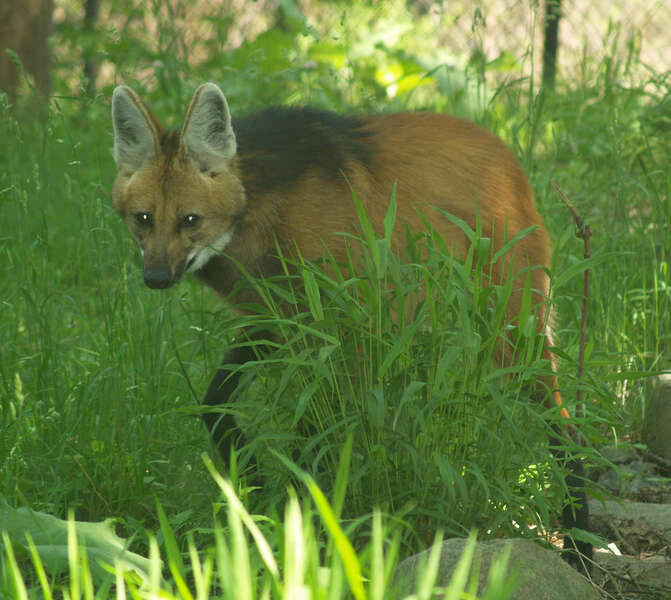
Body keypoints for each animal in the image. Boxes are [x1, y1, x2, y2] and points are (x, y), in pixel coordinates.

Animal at [111, 82, 592, 568]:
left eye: (190, 220)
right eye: (143, 219)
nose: (155, 278)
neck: (260, 211)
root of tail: (511, 161)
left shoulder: (346, 324)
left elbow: (315, 434)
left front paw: (298, 525)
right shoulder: (279, 318)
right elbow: (215, 404)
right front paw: (256, 492)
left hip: (510, 328)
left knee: (565, 427)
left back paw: (579, 547)